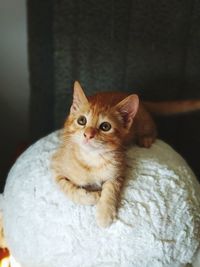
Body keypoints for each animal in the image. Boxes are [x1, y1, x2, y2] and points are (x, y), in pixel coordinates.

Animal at [52, 81, 200, 228]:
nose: (88, 134)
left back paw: (146, 139)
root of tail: (142, 102)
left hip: (144, 124)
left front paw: (105, 212)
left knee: (153, 129)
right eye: (82, 120)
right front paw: (92, 197)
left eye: (105, 126)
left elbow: (111, 188)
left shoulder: (118, 169)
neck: (91, 160)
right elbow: (68, 188)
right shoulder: (55, 165)